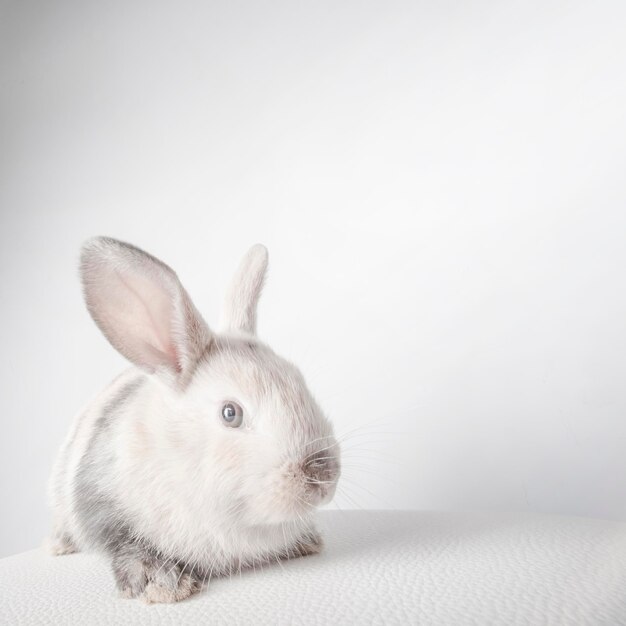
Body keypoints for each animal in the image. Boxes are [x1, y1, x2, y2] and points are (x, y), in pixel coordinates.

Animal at [47, 236, 342, 604]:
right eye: (230, 413)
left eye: (299, 380)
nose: (325, 476)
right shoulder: (101, 507)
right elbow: (126, 544)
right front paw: (162, 583)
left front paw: (306, 541)